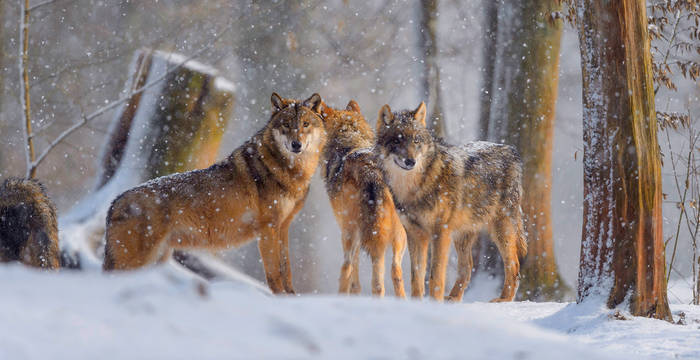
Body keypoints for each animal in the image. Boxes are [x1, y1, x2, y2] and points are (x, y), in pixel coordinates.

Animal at [102, 93, 326, 296]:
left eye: (305, 124)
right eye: (286, 124)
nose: (296, 144)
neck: (290, 171)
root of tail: (114, 202)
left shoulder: (283, 227)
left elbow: (286, 269)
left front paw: (292, 296)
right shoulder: (268, 229)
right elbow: (274, 273)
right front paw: (280, 297)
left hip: (157, 259)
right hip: (136, 261)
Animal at [320, 100, 408, 296]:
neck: (350, 142)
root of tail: (373, 174)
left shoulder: (348, 229)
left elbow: (353, 270)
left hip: (351, 232)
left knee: (356, 272)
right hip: (400, 236)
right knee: (396, 272)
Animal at [374, 101, 528, 300]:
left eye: (416, 140)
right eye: (396, 141)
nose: (410, 161)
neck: (414, 188)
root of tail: (510, 150)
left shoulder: (440, 232)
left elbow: (435, 276)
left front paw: (435, 302)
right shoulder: (416, 234)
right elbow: (417, 277)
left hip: (502, 229)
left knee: (514, 265)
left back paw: (503, 300)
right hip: (463, 234)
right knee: (467, 267)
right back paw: (453, 298)